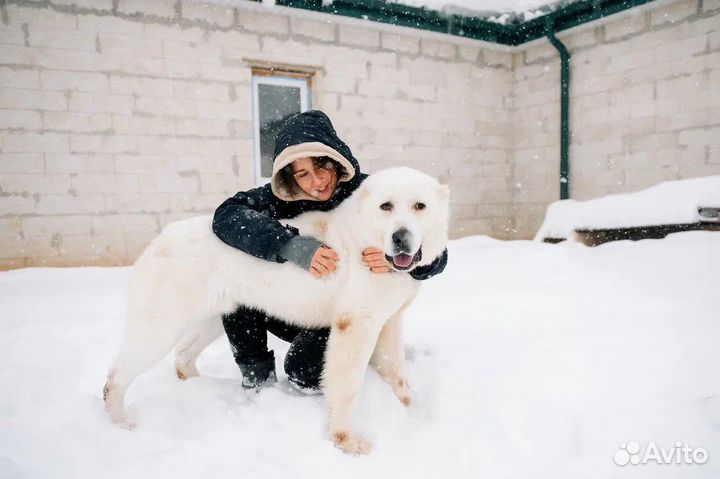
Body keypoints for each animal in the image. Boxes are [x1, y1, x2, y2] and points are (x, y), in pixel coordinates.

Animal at [104, 167, 448, 456]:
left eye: (420, 206)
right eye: (385, 206)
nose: (401, 238)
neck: (366, 244)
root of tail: (161, 237)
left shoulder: (390, 318)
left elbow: (395, 369)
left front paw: (409, 408)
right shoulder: (355, 323)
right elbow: (347, 384)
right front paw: (346, 440)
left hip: (212, 316)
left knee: (184, 353)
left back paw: (200, 387)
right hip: (160, 323)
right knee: (118, 374)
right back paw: (121, 423)